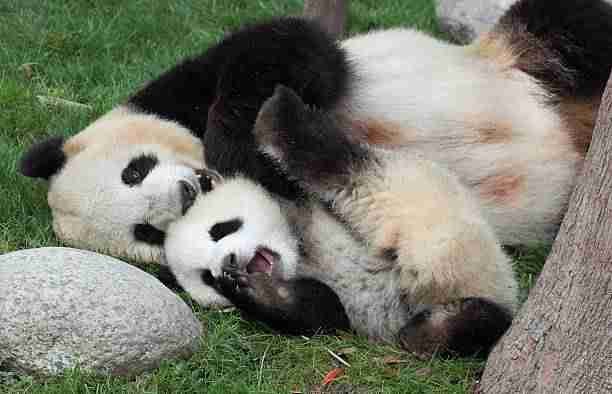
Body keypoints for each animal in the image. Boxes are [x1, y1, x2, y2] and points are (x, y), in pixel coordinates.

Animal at [19, 0, 612, 266]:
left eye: (134, 170)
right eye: (146, 232)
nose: (185, 194)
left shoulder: (187, 85)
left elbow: (286, 49)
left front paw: (235, 142)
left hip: (518, 54)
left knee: (569, 23)